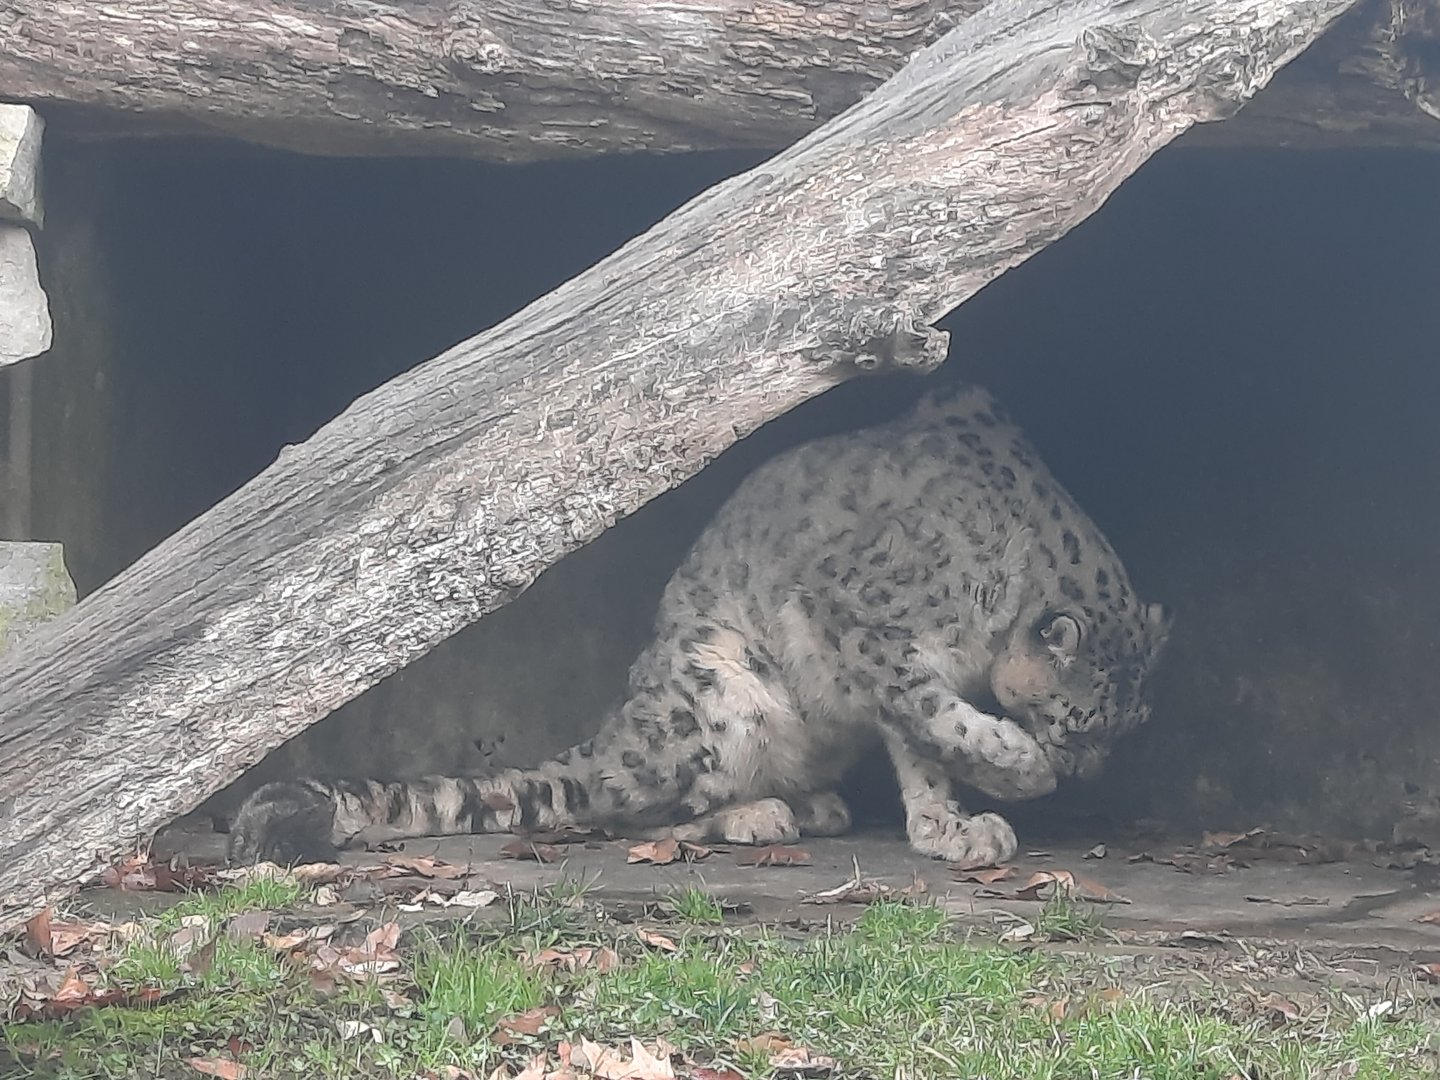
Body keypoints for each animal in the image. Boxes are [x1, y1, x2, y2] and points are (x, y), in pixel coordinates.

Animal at [228, 382, 1170, 867]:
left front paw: (949, 826)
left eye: (1128, 726)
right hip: (718, 691)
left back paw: (816, 803)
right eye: (1078, 720)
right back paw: (763, 816)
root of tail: (618, 729)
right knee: (618, 810)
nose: (1088, 771)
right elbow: (933, 716)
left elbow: (920, 750)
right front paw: (1014, 772)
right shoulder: (863, 622)